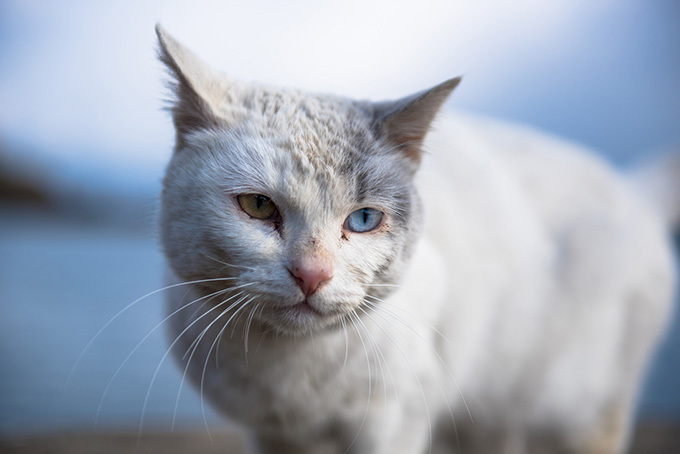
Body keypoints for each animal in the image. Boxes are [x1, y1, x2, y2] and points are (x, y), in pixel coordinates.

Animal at [155, 25, 680, 454]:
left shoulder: (394, 420)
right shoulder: (273, 436)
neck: (289, 372)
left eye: (364, 219)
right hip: (490, 413)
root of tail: (632, 187)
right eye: (259, 207)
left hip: (579, 405)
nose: (312, 274)